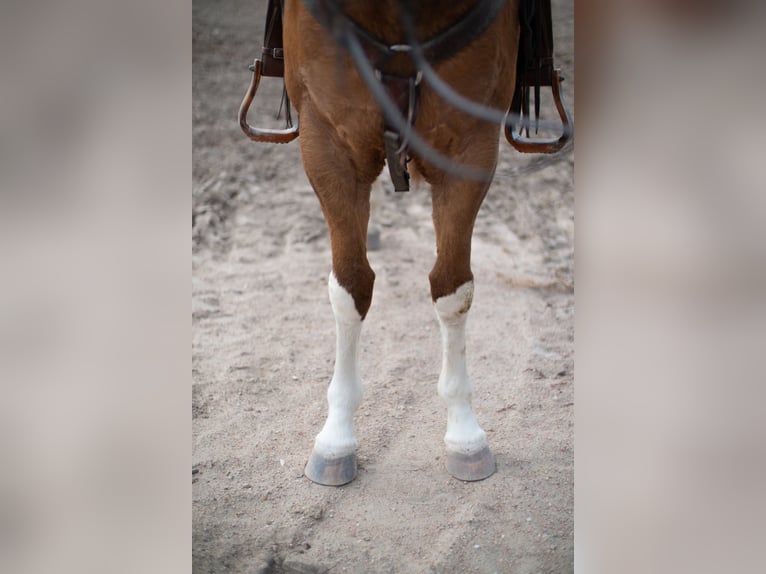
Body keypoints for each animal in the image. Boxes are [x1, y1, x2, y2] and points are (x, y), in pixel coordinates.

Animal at [243, 0, 560, 486]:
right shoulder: (326, 142)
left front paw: (465, 434)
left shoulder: (470, 147)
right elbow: (351, 286)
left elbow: (453, 288)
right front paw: (336, 438)